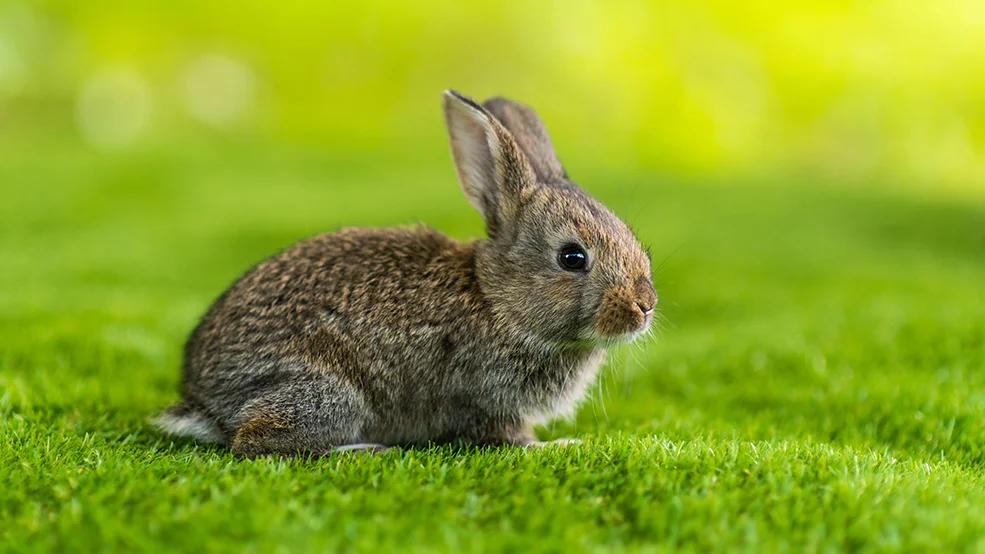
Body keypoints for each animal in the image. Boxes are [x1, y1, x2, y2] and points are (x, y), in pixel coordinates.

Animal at [152, 90, 657, 457]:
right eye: (572, 257)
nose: (645, 306)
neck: (496, 301)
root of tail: (206, 402)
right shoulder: (483, 399)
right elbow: (507, 438)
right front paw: (558, 445)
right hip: (329, 393)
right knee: (256, 442)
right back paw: (361, 449)